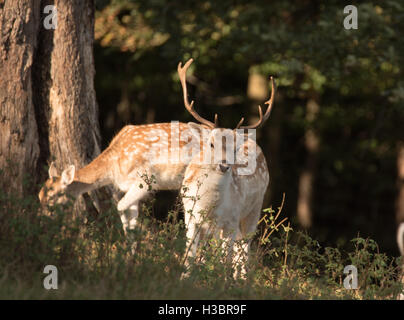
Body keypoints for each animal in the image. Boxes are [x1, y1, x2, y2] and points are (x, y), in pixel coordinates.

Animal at [38, 58, 274, 239]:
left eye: (53, 197)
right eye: (40, 195)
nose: (39, 219)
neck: (114, 166)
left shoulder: (145, 180)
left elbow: (121, 208)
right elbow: (129, 218)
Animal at [178, 60, 276, 278]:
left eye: (235, 147)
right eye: (211, 143)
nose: (224, 165)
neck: (209, 206)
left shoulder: (229, 221)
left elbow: (224, 260)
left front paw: (220, 280)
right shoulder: (190, 217)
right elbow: (190, 255)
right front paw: (183, 278)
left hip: (253, 210)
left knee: (243, 249)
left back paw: (241, 279)